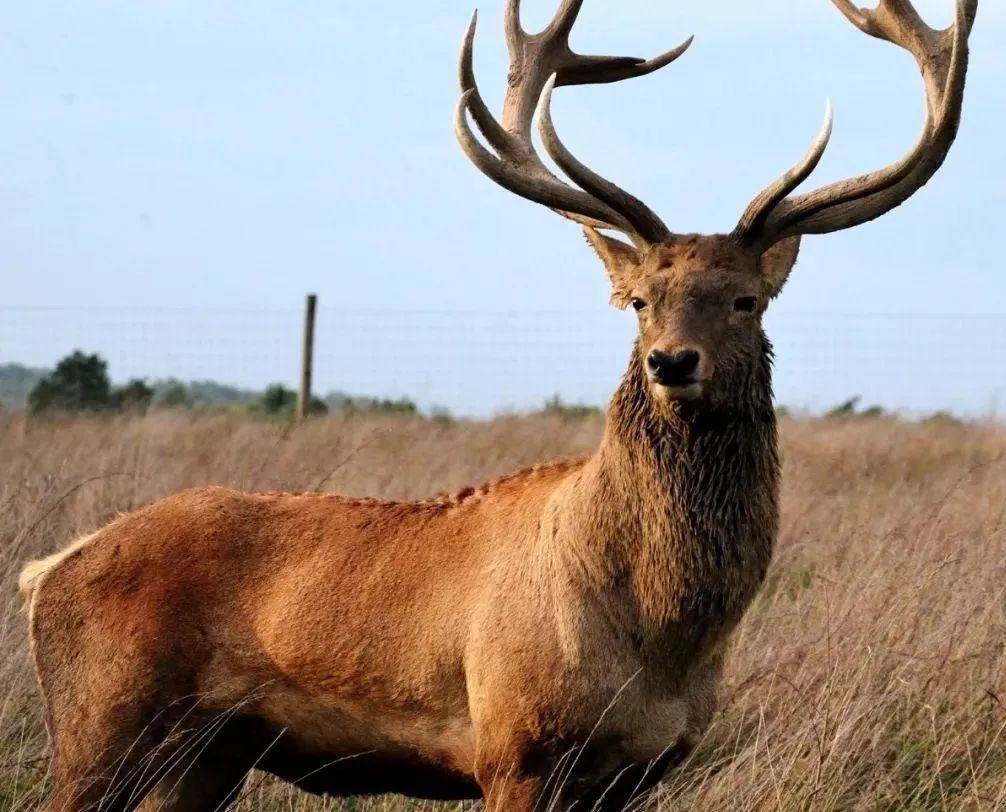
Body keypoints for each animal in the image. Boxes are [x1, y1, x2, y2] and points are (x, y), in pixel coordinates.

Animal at [17, 1, 973, 812]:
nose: (671, 362)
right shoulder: (515, 745)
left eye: (746, 300)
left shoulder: (641, 769)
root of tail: (48, 569)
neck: (663, 641)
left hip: (210, 750)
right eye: (640, 301)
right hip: (101, 717)